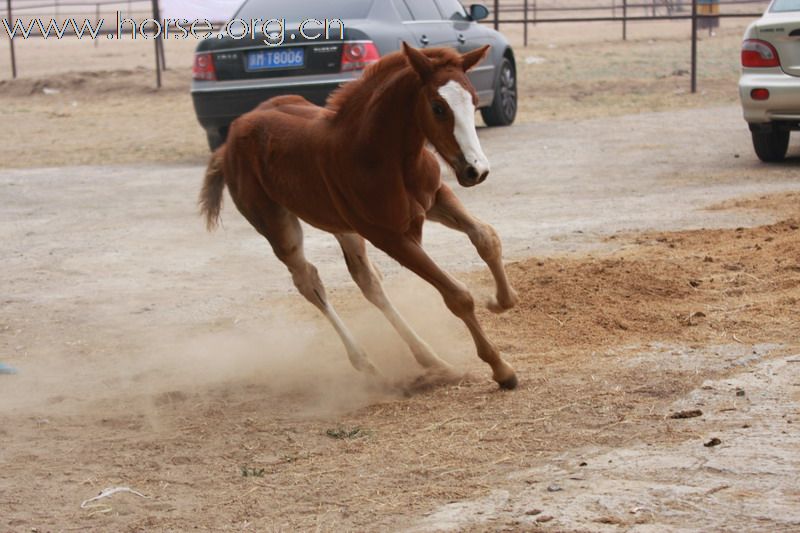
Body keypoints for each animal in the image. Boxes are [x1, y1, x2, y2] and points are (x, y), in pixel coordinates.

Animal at [202, 43, 520, 388]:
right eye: (437, 107)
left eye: (474, 101)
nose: (477, 170)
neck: (383, 156)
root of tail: (229, 141)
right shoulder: (389, 236)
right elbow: (457, 295)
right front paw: (500, 368)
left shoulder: (436, 197)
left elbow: (487, 237)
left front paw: (500, 301)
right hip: (277, 225)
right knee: (309, 281)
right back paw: (367, 364)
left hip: (343, 225)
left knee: (367, 281)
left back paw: (431, 360)